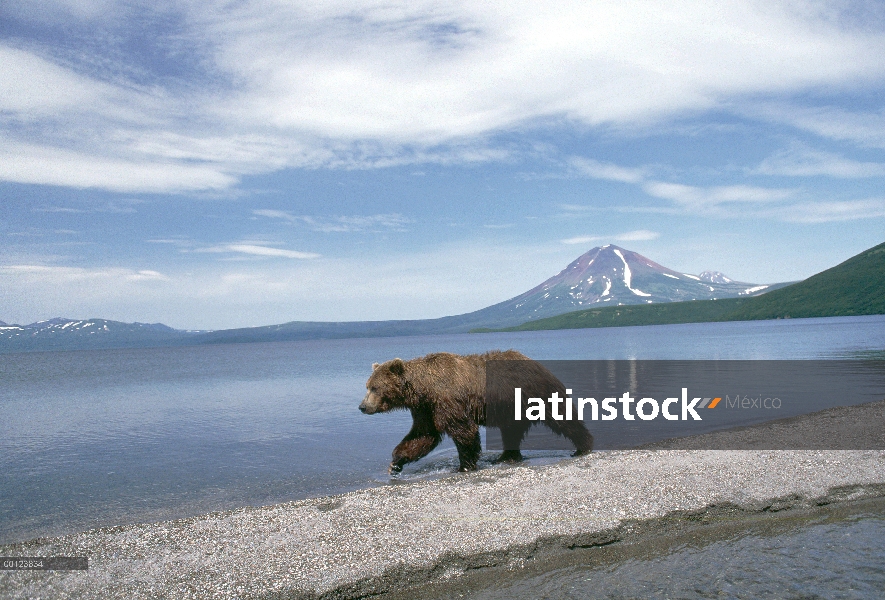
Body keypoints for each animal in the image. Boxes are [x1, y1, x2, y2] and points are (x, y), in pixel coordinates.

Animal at [360, 352, 592, 474]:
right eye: (367, 386)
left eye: (375, 388)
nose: (362, 407)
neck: (423, 389)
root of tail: (540, 365)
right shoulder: (425, 409)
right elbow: (423, 435)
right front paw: (396, 462)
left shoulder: (448, 400)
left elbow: (464, 431)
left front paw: (465, 465)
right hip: (512, 408)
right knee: (511, 431)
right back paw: (507, 456)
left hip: (539, 395)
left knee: (563, 419)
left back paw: (583, 446)